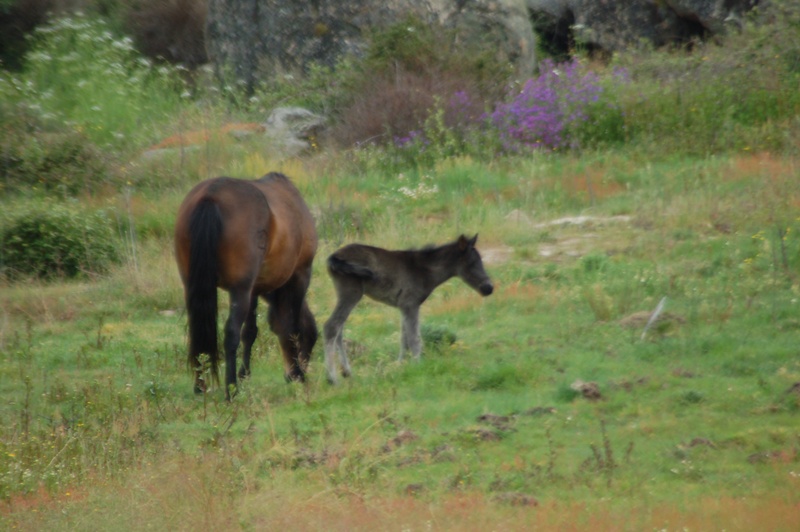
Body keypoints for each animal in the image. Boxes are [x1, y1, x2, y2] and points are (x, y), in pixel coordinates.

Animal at [174, 172, 318, 398]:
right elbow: (292, 327)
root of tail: (211, 195)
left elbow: (250, 332)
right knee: (231, 332)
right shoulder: (300, 274)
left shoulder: (254, 289)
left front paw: (245, 374)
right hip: (239, 290)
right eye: (311, 339)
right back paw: (230, 389)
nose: (291, 375)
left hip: (193, 285)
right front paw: (297, 373)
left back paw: (200, 385)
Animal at [323, 234, 493, 384]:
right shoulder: (411, 304)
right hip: (351, 292)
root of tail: (333, 257)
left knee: (339, 329)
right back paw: (333, 379)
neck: (424, 270)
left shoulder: (403, 306)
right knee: (332, 326)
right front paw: (418, 367)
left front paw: (400, 367)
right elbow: (414, 339)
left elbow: (404, 338)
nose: (488, 288)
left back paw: (347, 372)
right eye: (471, 263)